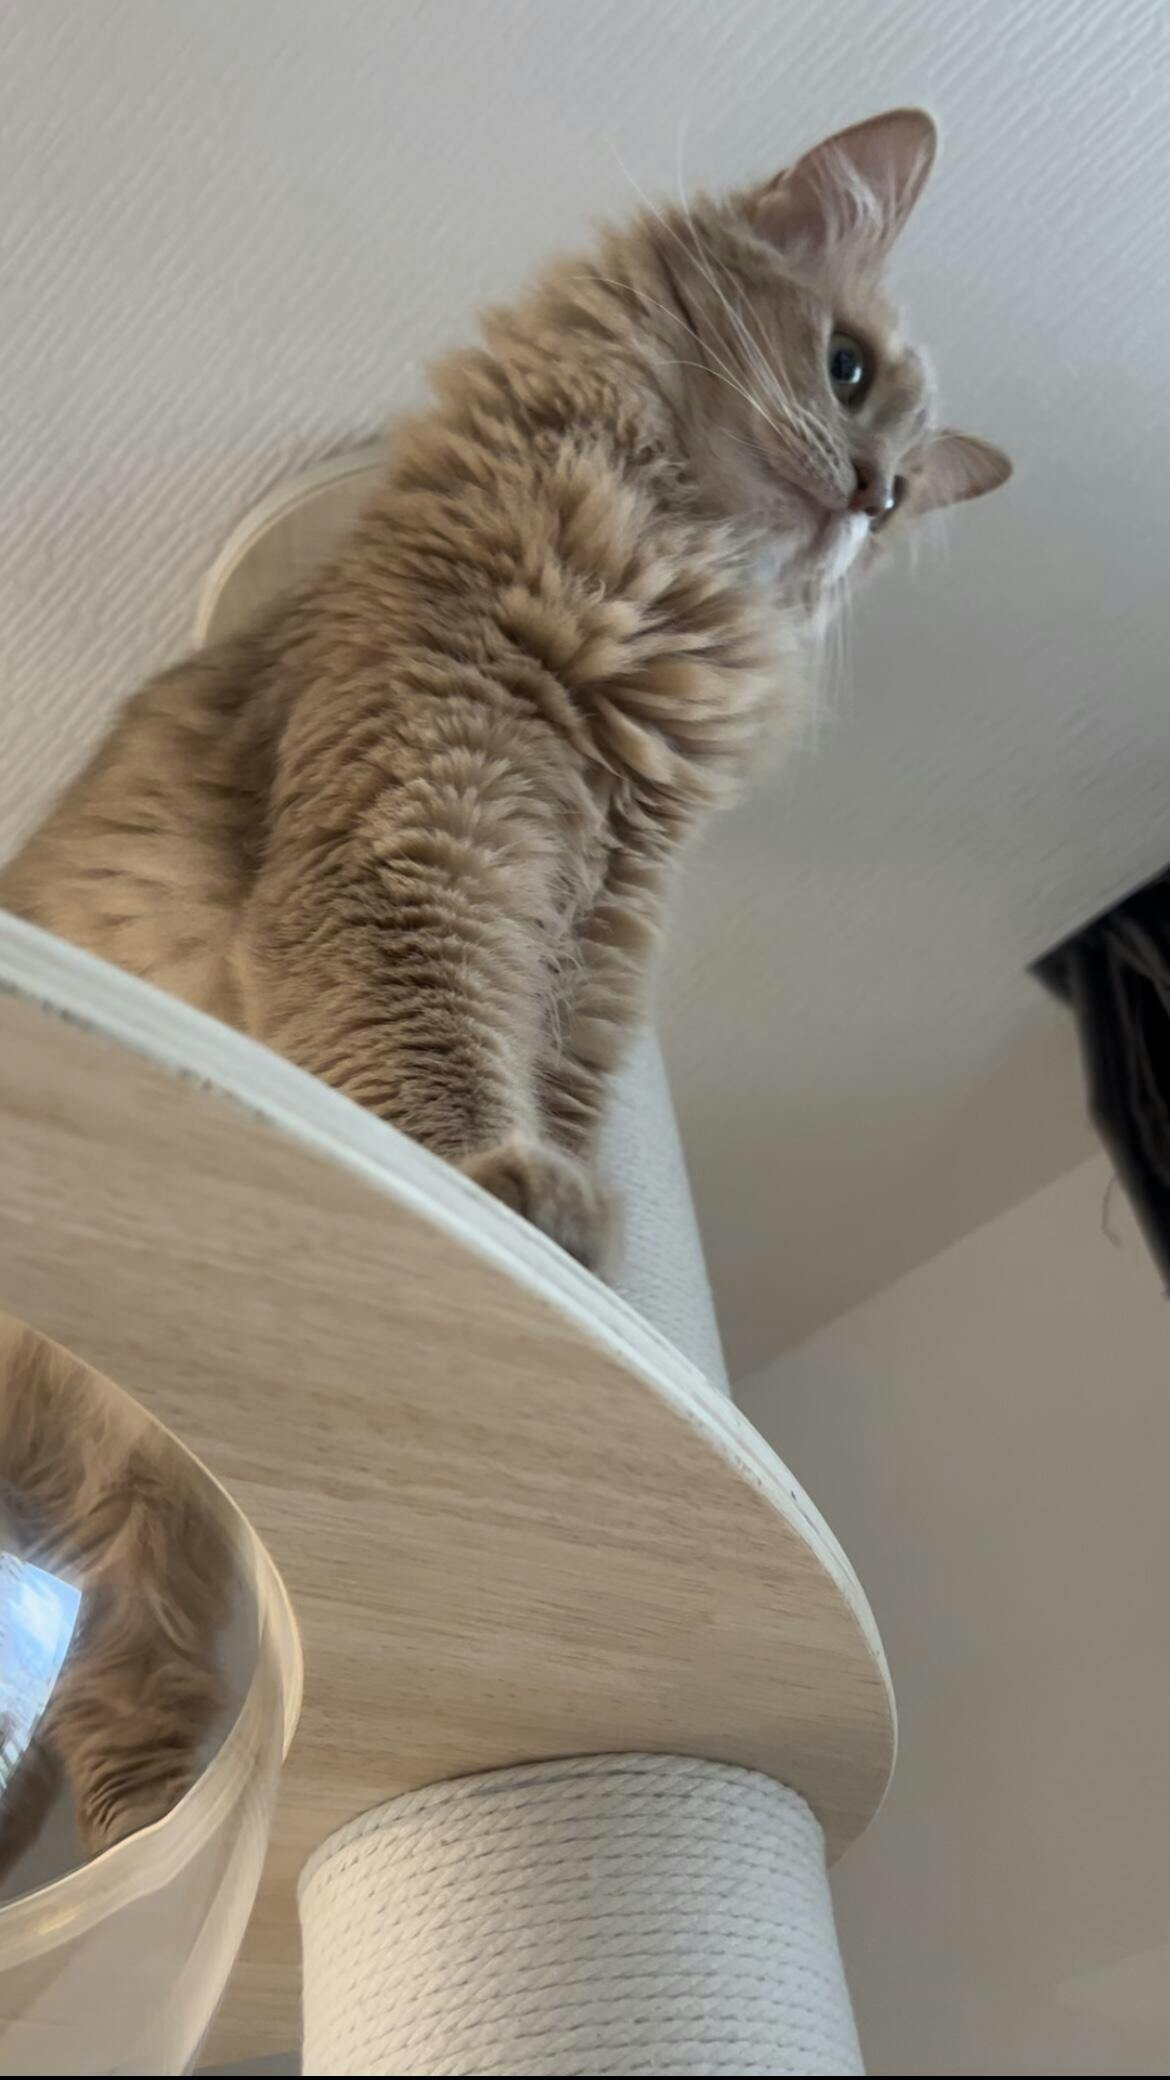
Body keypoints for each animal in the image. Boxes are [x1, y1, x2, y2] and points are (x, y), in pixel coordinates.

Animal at [1, 108, 1009, 1276]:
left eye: (897, 506)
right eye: (846, 369)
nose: (869, 493)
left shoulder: (601, 937)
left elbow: (555, 1089)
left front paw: (585, 1264)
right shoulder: (407, 831)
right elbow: (423, 1043)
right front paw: (501, 1194)